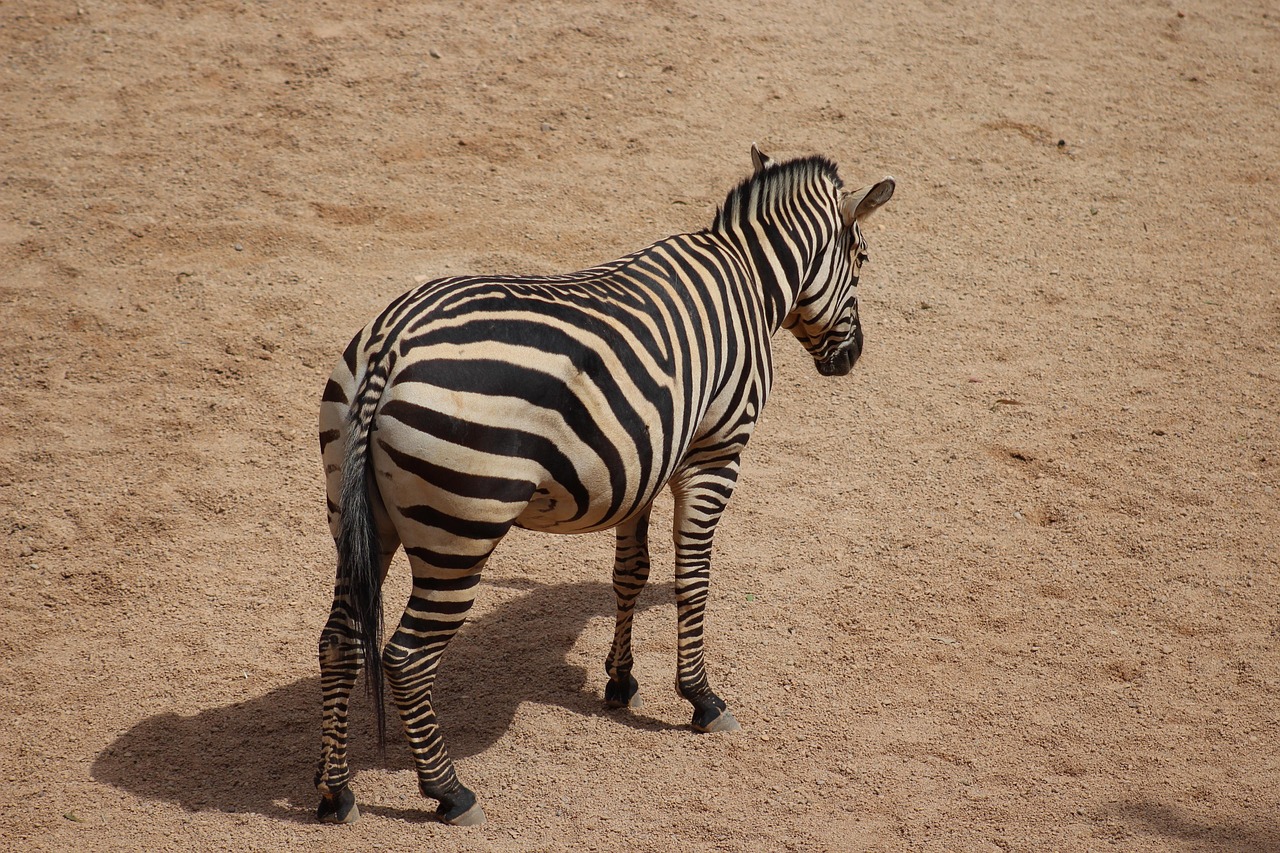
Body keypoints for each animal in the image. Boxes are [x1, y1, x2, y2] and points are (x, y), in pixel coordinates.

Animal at [314, 146, 894, 826]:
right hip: (459, 531)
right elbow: (693, 578)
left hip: (359, 516)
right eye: (862, 259)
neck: (747, 275)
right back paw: (449, 792)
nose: (851, 359)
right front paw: (701, 698)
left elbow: (631, 573)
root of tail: (390, 345)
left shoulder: (641, 463)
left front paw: (620, 681)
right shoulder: (714, 452)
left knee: (339, 641)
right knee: (405, 658)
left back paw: (336, 793)